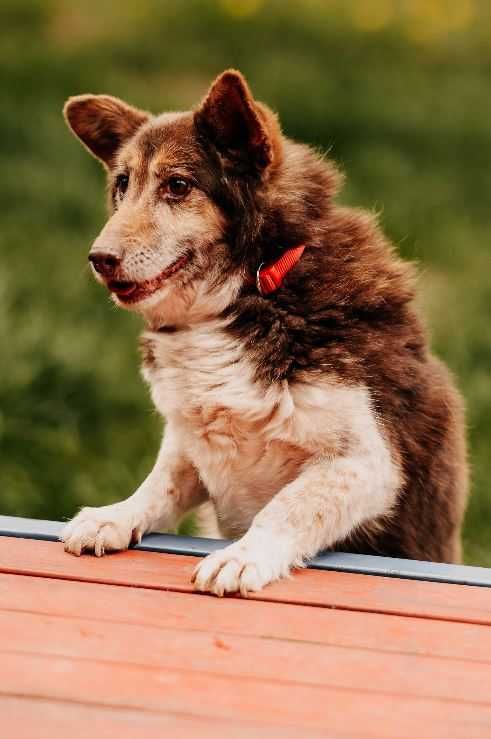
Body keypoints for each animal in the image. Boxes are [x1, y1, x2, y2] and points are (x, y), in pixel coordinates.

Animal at [61, 71, 468, 596]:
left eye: (178, 186)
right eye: (122, 184)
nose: (99, 259)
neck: (253, 289)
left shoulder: (367, 462)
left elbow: (287, 507)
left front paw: (242, 556)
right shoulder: (190, 443)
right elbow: (160, 482)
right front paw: (114, 516)